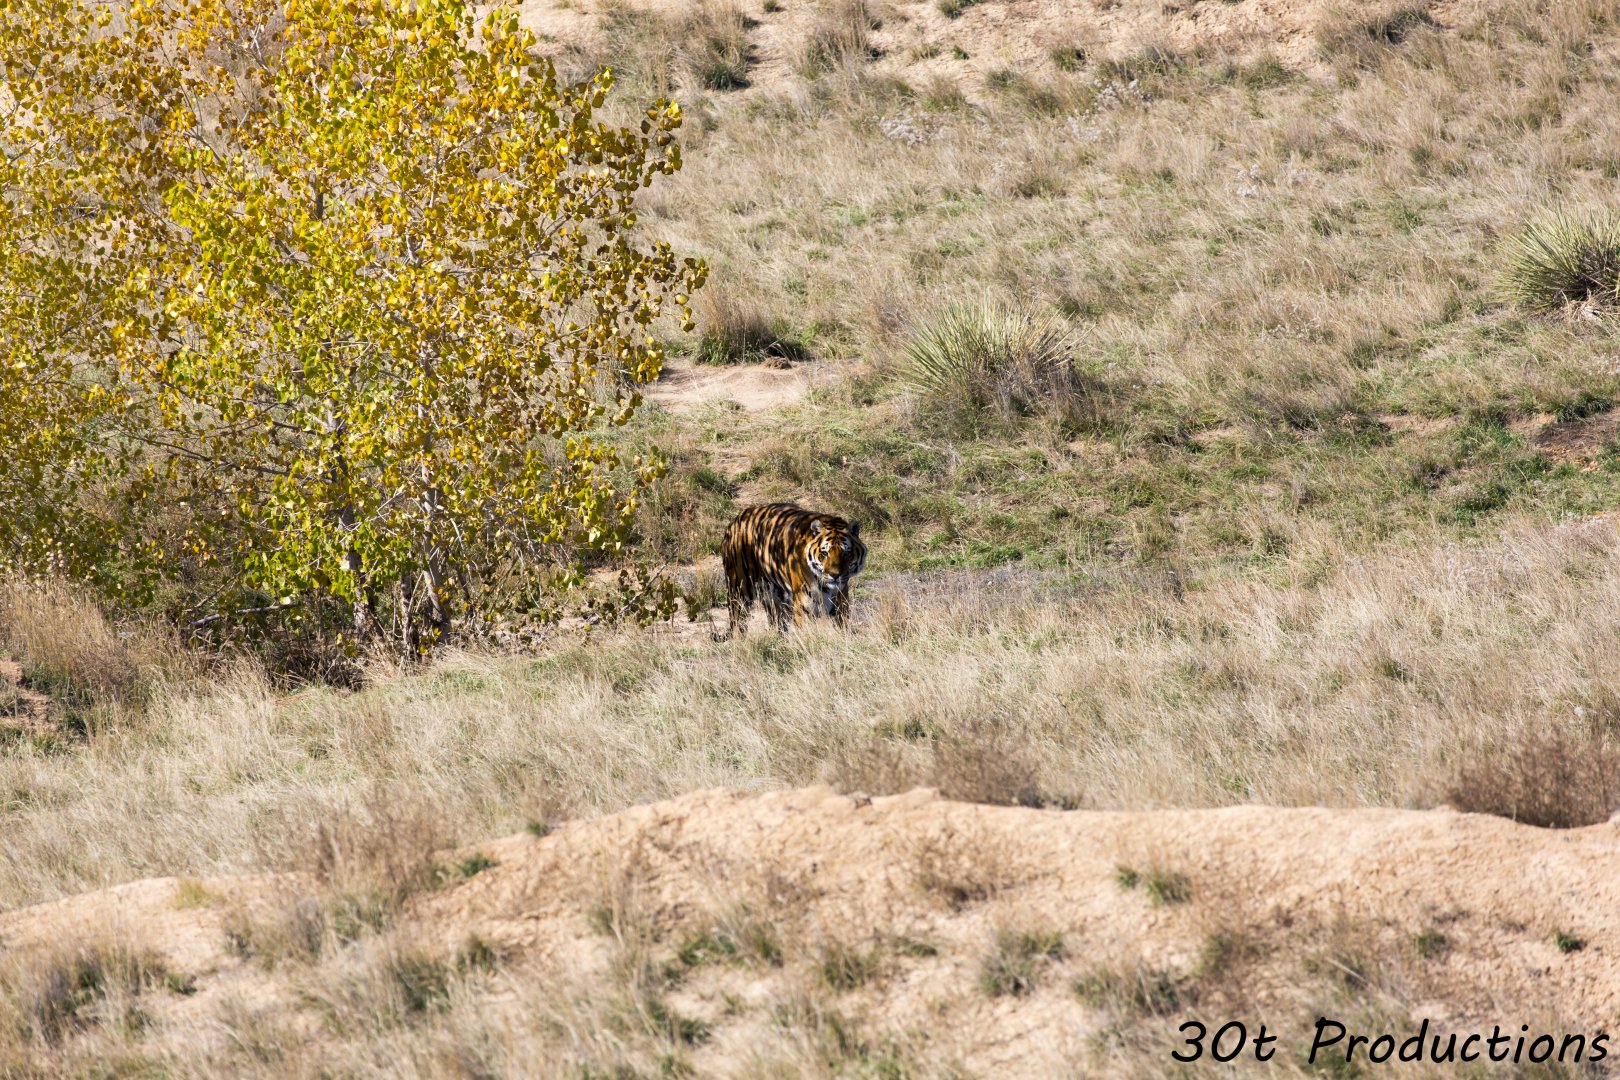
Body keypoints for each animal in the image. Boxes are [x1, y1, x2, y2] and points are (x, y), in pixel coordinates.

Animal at [715, 503, 867, 640]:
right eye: (825, 553)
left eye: (846, 554)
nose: (835, 576)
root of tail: (735, 519)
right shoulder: (803, 607)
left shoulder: (841, 603)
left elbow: (843, 628)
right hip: (739, 590)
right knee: (738, 624)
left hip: (775, 597)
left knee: (776, 623)